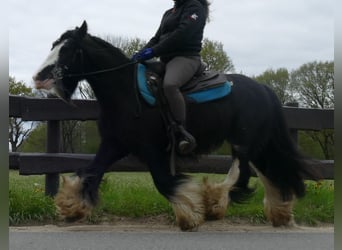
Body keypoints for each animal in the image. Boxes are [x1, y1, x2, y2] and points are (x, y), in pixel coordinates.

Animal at [32, 21, 318, 230]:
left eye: (67, 49)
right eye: (54, 45)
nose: (38, 77)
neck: (126, 92)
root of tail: (263, 89)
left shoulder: (152, 149)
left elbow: (164, 182)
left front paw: (190, 213)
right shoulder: (114, 144)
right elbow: (91, 172)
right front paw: (71, 207)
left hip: (243, 141)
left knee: (242, 173)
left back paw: (216, 203)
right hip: (255, 142)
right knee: (266, 171)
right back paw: (279, 211)